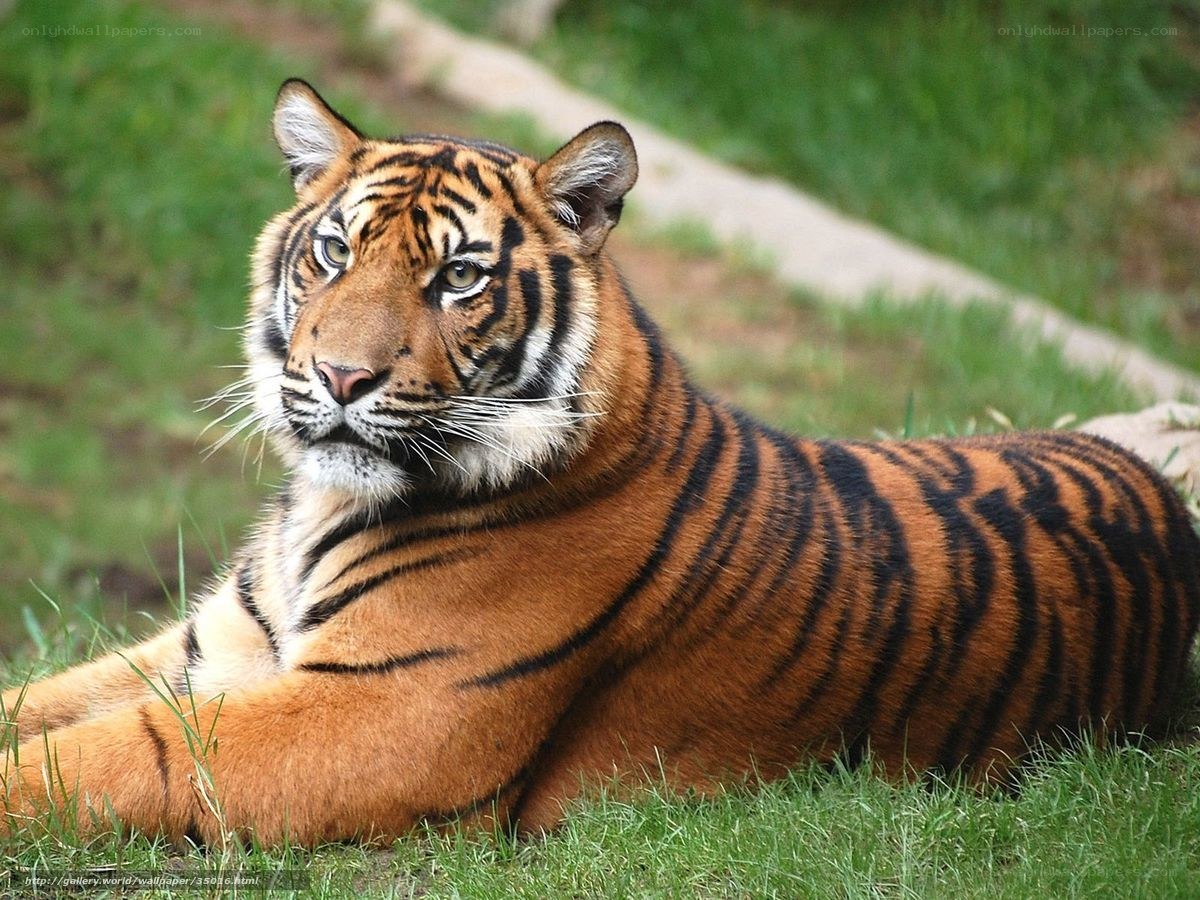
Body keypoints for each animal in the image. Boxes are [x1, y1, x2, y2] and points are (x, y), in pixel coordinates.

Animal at [2, 79, 1198, 848]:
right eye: (334, 252)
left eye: (459, 277)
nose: (339, 377)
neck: (324, 507)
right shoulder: (209, 651)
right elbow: (39, 701)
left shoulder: (381, 715)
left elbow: (112, 757)